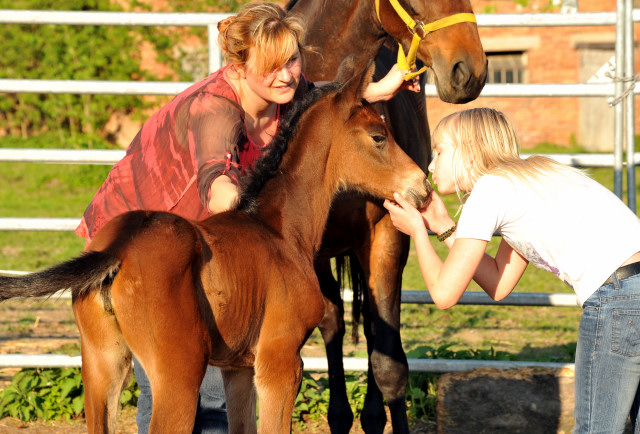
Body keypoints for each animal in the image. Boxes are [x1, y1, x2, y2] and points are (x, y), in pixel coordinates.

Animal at [0, 60, 430, 434]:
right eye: (378, 137)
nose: (423, 187)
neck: (278, 230)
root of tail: (117, 249)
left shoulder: (237, 367)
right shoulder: (280, 361)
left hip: (101, 364)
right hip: (179, 375)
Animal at [288, 1, 488, 432]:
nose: (470, 71)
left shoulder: (386, 235)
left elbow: (389, 365)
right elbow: (331, 322)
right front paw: (340, 416)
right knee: (337, 320)